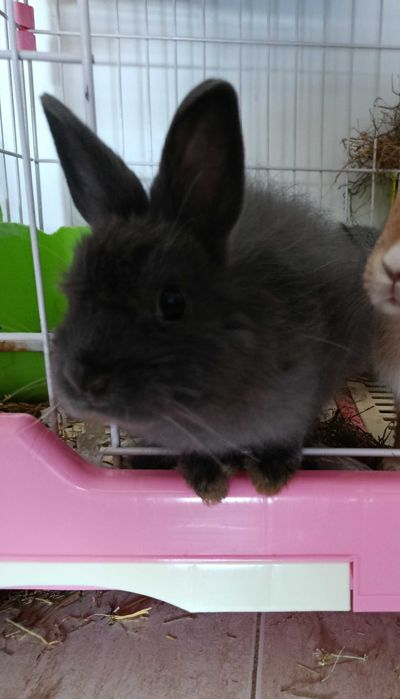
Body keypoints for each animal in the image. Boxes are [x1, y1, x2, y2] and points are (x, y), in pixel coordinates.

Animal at [41, 79, 375, 502]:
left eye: (172, 302)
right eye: (71, 292)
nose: (84, 381)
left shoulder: (298, 399)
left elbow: (284, 437)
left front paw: (271, 477)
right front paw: (207, 484)